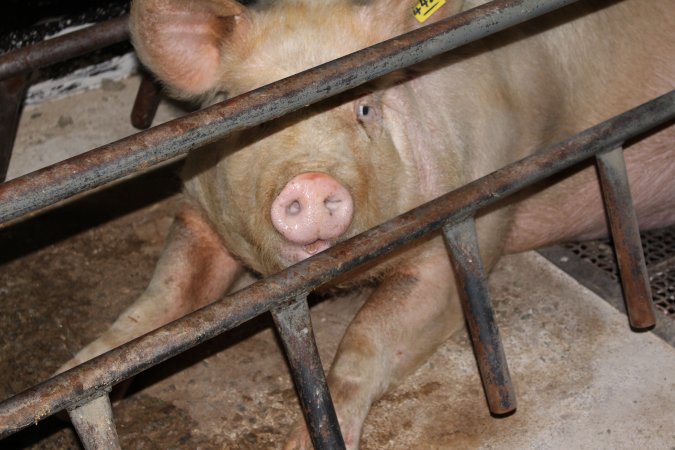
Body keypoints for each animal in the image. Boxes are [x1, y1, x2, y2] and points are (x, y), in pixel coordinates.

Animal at [56, 0, 675, 448]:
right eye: (245, 114)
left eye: (365, 108)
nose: (310, 182)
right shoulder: (198, 209)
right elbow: (164, 298)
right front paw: (74, 370)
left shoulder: (467, 224)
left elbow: (368, 336)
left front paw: (302, 445)